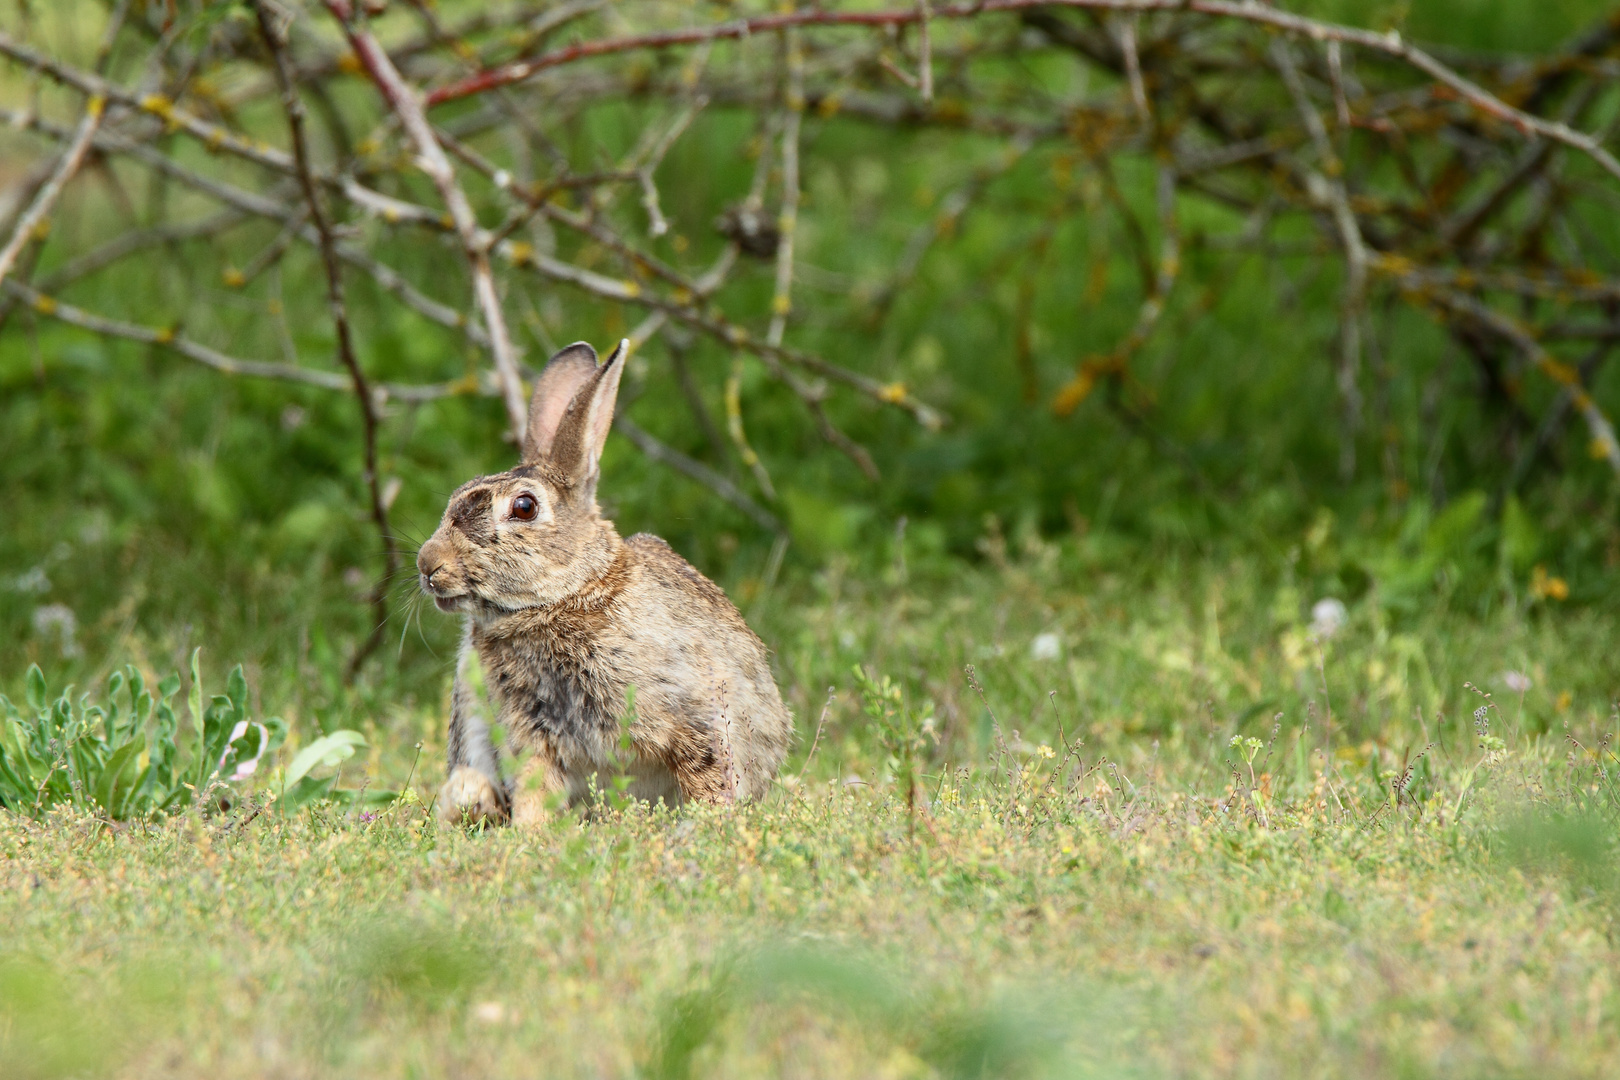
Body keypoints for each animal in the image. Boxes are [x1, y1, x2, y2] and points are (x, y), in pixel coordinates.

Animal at [414, 340, 787, 829]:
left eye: (524, 507)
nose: (428, 565)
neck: (563, 598)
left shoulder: (695, 717)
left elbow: (707, 774)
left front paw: (708, 825)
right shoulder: (529, 734)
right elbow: (536, 786)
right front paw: (529, 833)